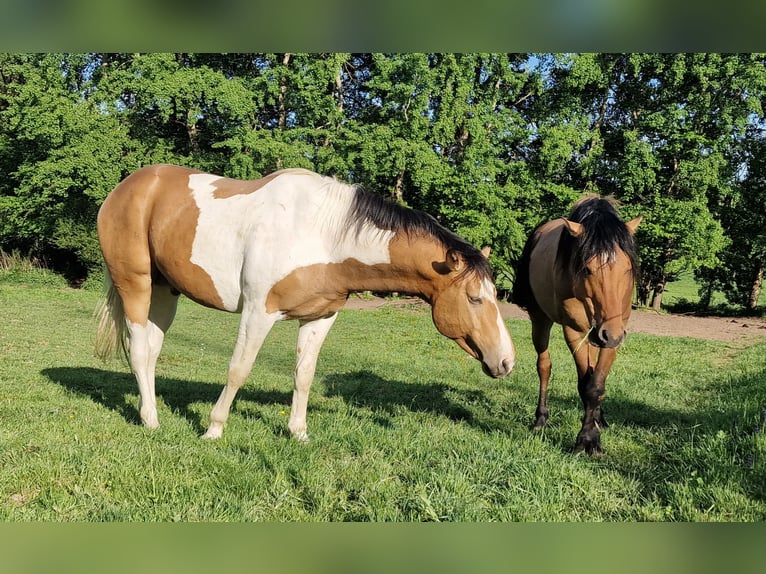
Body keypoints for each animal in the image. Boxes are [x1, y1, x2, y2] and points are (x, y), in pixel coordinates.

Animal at [95, 164, 515, 441]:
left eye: (496, 296)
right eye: (475, 298)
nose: (507, 362)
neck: (323, 234)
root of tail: (126, 187)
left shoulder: (320, 318)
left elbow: (304, 375)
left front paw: (298, 433)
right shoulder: (258, 313)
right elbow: (238, 370)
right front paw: (213, 430)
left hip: (165, 291)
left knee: (151, 350)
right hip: (136, 284)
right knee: (139, 349)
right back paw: (151, 421)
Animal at [512, 195, 641, 455]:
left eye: (627, 268)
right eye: (587, 269)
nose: (609, 334)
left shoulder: (614, 333)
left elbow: (596, 384)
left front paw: (595, 428)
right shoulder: (575, 331)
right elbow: (586, 386)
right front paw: (588, 440)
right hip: (541, 320)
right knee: (544, 366)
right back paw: (541, 419)